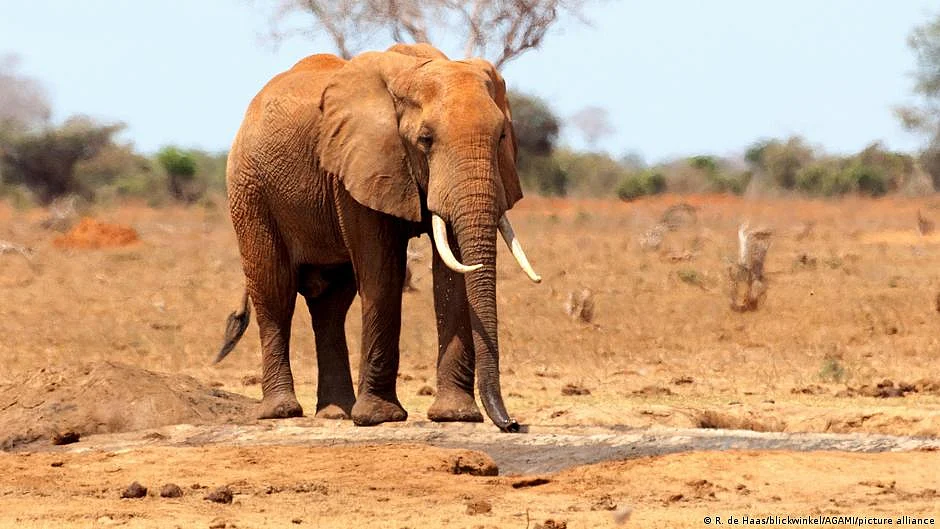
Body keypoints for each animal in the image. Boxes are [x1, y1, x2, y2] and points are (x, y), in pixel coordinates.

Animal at [214, 43, 540, 433]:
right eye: (425, 140)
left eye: (502, 137)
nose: (512, 424)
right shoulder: (357, 167)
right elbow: (382, 274)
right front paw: (379, 418)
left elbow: (451, 274)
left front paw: (455, 416)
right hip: (249, 191)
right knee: (275, 292)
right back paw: (284, 411)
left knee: (330, 303)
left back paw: (336, 412)